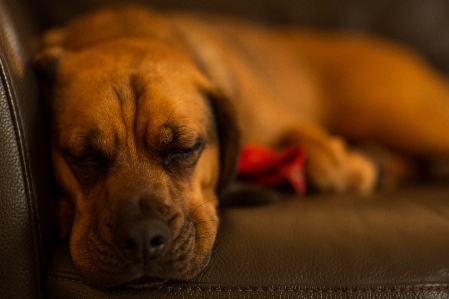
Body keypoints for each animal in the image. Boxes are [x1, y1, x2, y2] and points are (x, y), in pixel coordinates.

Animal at [36, 5, 449, 290]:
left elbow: (327, 161)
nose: (141, 239)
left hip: (400, 114)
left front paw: (352, 166)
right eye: (83, 157)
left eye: (185, 148)